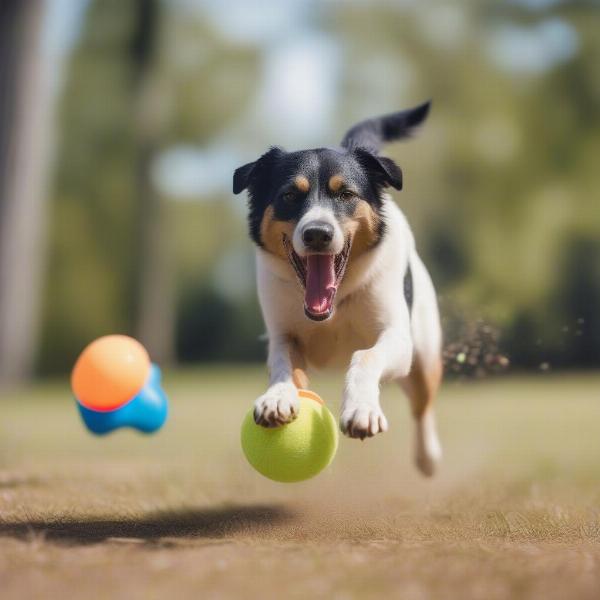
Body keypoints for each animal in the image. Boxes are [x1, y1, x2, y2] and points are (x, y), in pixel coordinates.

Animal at [232, 104, 442, 478]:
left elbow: (365, 356)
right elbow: (281, 362)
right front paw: (277, 397)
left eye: (346, 194)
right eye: (289, 195)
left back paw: (427, 456)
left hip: (422, 357)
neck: (335, 304)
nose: (318, 233)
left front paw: (361, 410)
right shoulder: (283, 335)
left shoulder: (397, 338)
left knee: (423, 403)